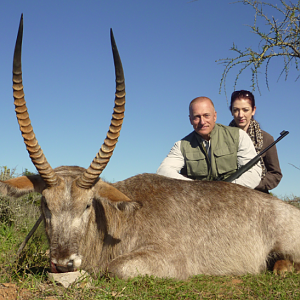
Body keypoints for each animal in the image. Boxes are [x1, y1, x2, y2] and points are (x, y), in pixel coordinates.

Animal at [0, 15, 300, 278]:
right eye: (44, 204)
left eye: (86, 205)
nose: (63, 263)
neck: (116, 221)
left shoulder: (169, 260)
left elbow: (116, 268)